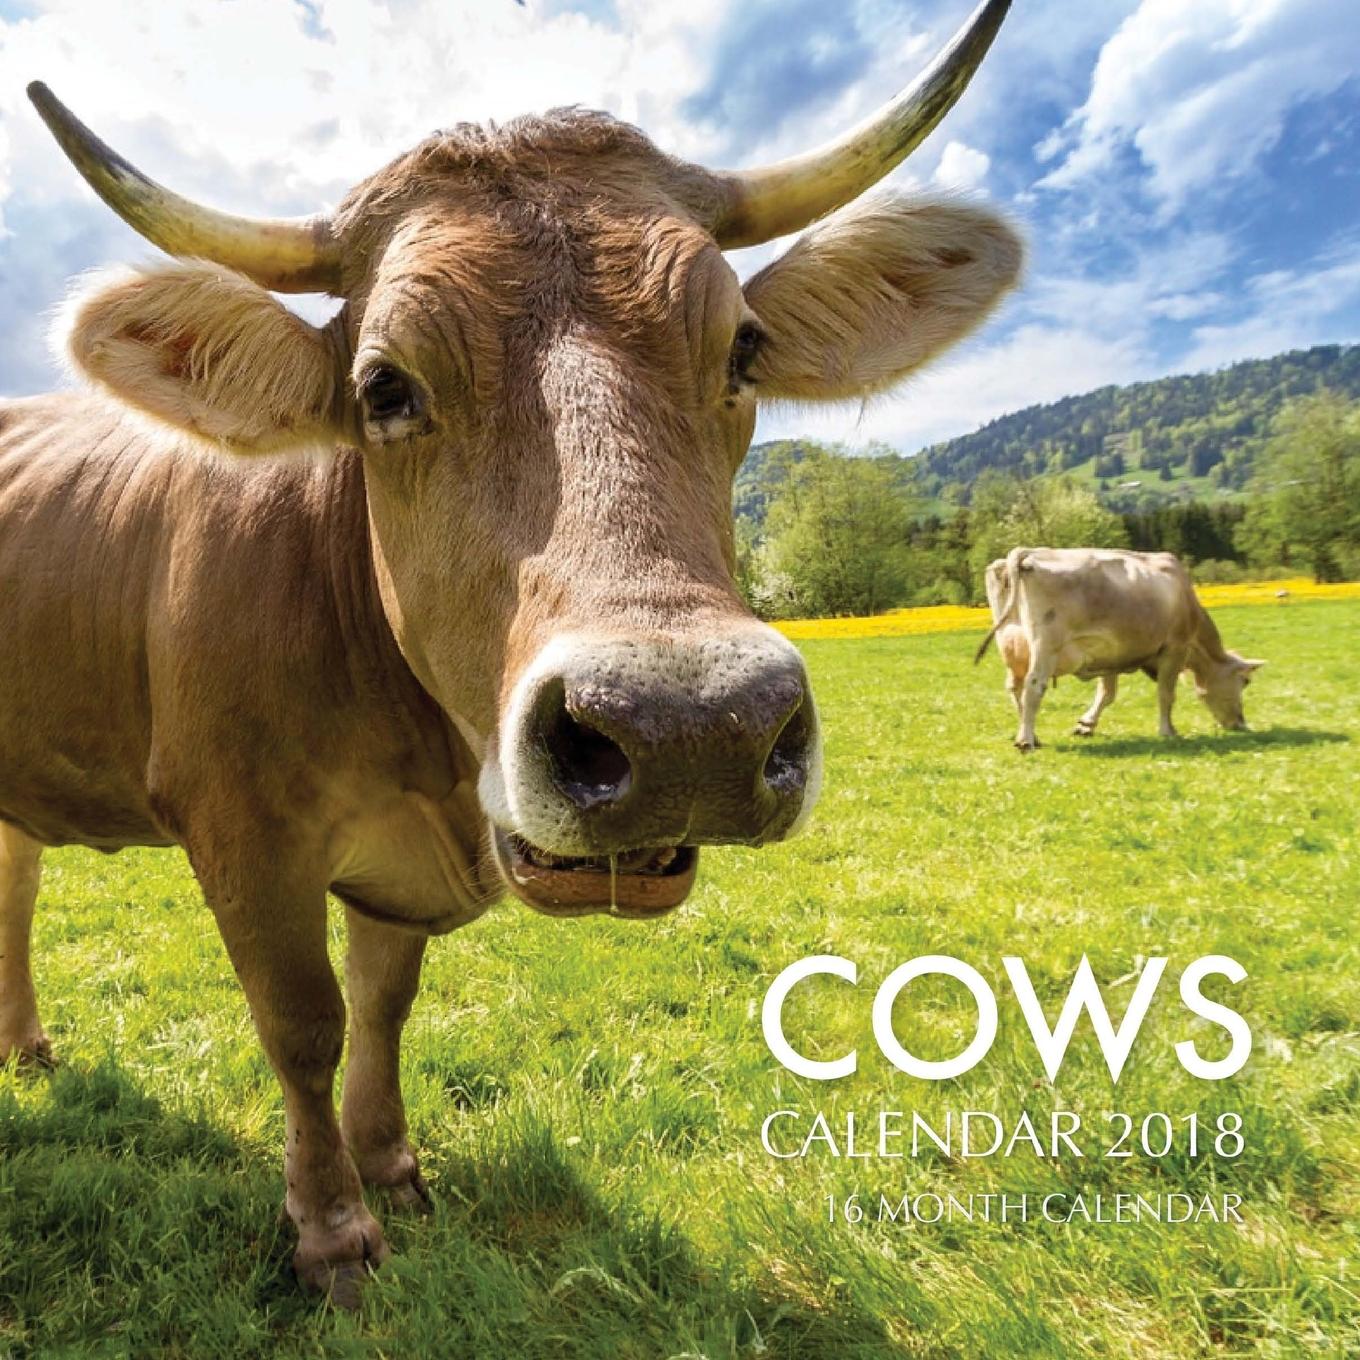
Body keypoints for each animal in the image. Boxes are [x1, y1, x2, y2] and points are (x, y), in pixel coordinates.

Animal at [0, 0, 1021, 1301]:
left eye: (742, 349)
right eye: (384, 386)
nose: (689, 727)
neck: (429, 761)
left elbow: (383, 1005)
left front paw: (391, 1164)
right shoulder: (240, 830)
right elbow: (303, 1022)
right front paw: (333, 1228)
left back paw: (26, 1046)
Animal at [975, 547, 1265, 751]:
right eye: (1245, 681)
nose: (1240, 724)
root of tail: (1029, 552)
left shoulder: (1109, 654)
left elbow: (1107, 694)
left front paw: (1086, 725)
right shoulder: (1174, 648)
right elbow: (1166, 694)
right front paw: (1168, 731)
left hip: (1013, 646)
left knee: (1015, 688)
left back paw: (1031, 735)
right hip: (1045, 647)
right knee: (1034, 687)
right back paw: (1025, 740)